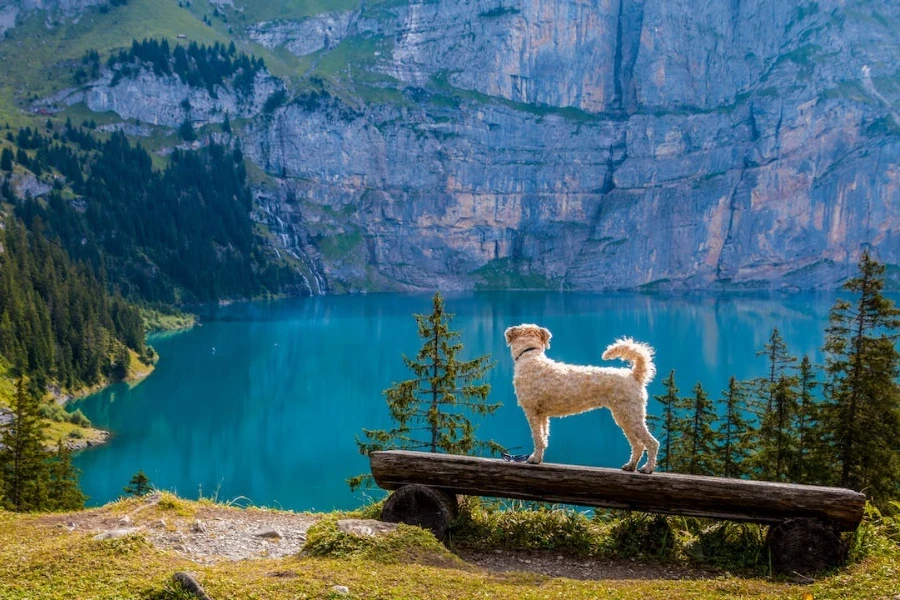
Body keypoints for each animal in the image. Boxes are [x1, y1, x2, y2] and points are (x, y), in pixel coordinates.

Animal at [506, 324, 660, 474]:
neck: (530, 357)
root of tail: (634, 375)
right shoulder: (542, 415)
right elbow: (543, 438)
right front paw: (538, 458)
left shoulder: (532, 412)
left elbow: (537, 438)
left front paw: (534, 458)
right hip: (624, 418)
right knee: (638, 444)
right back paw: (630, 466)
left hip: (631, 416)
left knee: (652, 443)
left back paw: (647, 468)